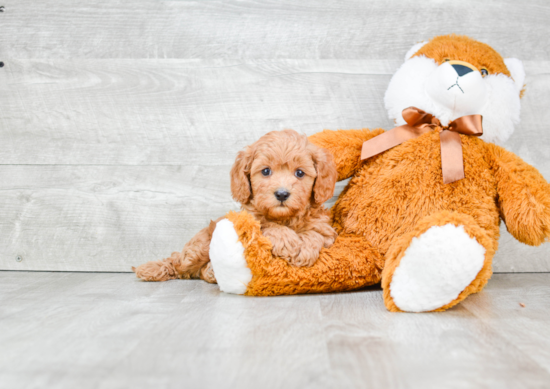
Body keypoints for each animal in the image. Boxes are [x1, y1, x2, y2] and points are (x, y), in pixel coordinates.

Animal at [135, 129, 340, 284]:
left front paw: (304, 248)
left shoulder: (326, 231)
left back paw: (210, 271)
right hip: (198, 248)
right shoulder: (248, 220)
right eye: (266, 171)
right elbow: (267, 225)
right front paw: (288, 240)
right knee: (178, 262)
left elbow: (315, 234)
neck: (285, 218)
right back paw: (154, 268)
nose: (282, 194)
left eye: (300, 173)